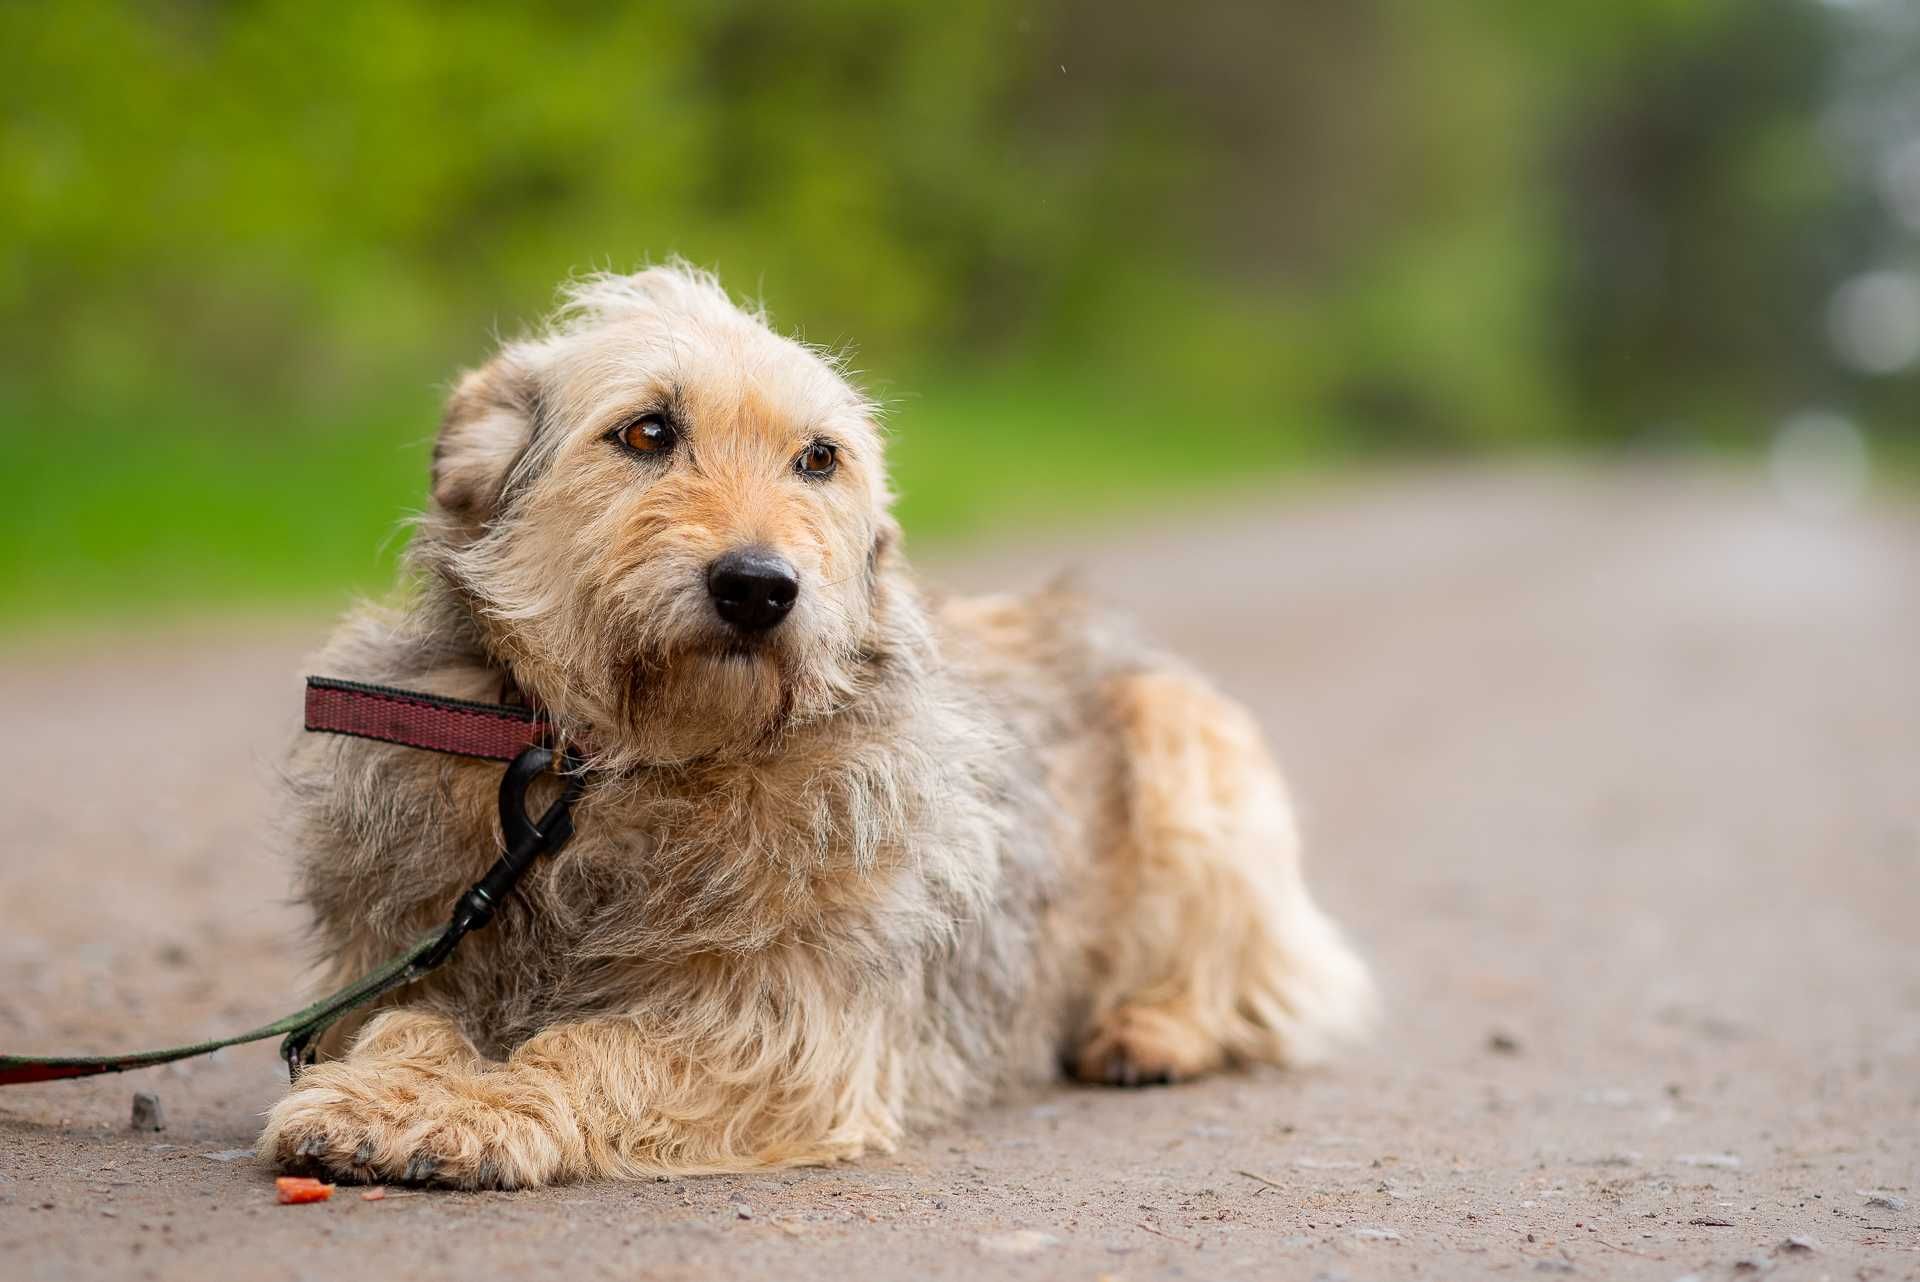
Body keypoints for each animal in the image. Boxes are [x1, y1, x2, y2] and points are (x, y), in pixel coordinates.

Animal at [259, 264, 1382, 1189]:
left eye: (818, 458)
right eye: (647, 431)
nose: (760, 586)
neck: (629, 766)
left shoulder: (789, 1029)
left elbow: (594, 1046)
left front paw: (481, 1107)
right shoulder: (406, 953)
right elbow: (406, 1019)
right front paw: (398, 1090)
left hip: (1189, 754)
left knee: (1257, 981)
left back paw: (1151, 1028)